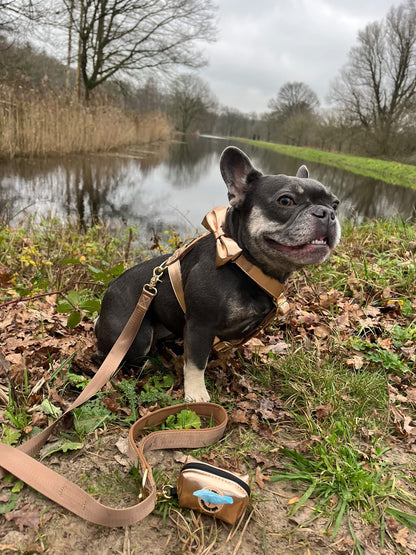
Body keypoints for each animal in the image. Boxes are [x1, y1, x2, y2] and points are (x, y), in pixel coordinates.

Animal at [95, 146, 342, 402]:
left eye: (335, 204)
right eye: (286, 200)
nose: (326, 213)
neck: (243, 263)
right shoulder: (200, 325)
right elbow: (196, 363)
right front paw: (196, 394)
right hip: (136, 337)